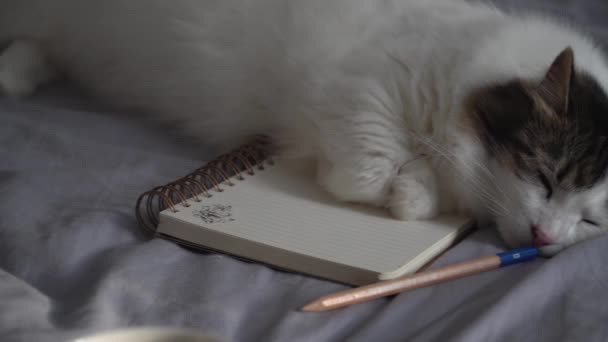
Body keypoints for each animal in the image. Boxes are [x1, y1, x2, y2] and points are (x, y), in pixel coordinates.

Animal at [1, 0, 608, 255]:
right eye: (547, 179)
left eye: (590, 223)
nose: (546, 237)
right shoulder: (361, 86)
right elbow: (368, 168)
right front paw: (401, 193)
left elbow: (416, 180)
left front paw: (414, 191)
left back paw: (16, 75)